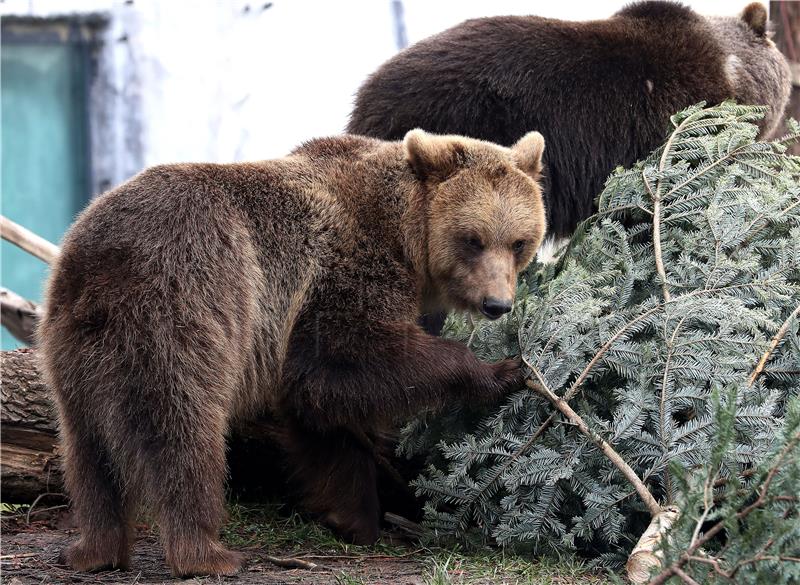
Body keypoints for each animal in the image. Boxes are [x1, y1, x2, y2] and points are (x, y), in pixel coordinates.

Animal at [37, 126, 552, 576]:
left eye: (518, 241)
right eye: (473, 239)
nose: (497, 303)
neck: (405, 233)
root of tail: (102, 259)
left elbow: (319, 416)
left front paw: (352, 515)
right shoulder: (338, 275)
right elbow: (342, 363)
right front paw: (500, 370)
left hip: (77, 340)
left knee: (88, 447)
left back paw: (95, 549)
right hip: (190, 301)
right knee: (184, 432)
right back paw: (206, 553)